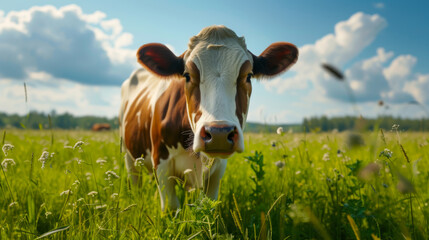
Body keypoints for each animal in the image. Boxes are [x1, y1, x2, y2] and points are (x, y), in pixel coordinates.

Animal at [118, 25, 298, 211]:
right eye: (187, 75)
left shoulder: (217, 171)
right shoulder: (161, 163)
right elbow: (171, 207)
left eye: (248, 76)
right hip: (128, 155)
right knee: (135, 182)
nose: (219, 134)